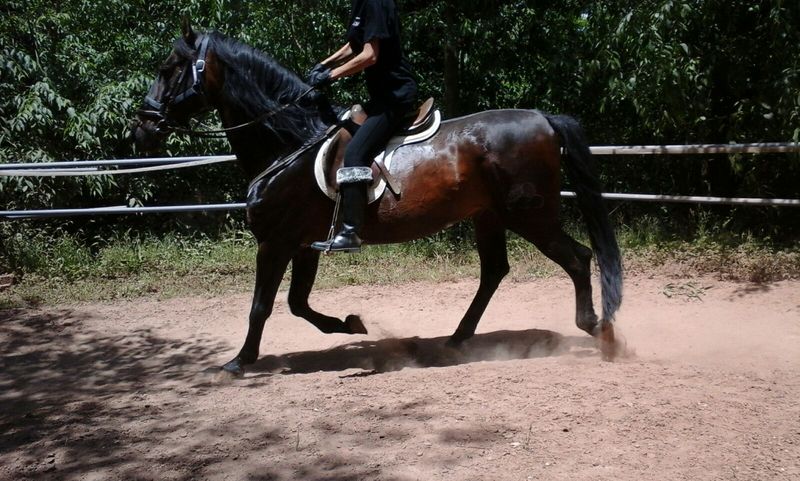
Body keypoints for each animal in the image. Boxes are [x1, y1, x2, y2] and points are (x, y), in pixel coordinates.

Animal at [132, 20, 623, 376]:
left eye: (169, 69)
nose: (141, 127)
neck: (291, 141)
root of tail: (543, 118)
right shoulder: (303, 244)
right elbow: (297, 303)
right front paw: (350, 325)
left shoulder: (275, 241)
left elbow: (262, 306)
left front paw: (239, 361)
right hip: (488, 215)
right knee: (494, 272)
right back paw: (456, 340)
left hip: (530, 215)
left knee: (578, 258)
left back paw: (601, 332)